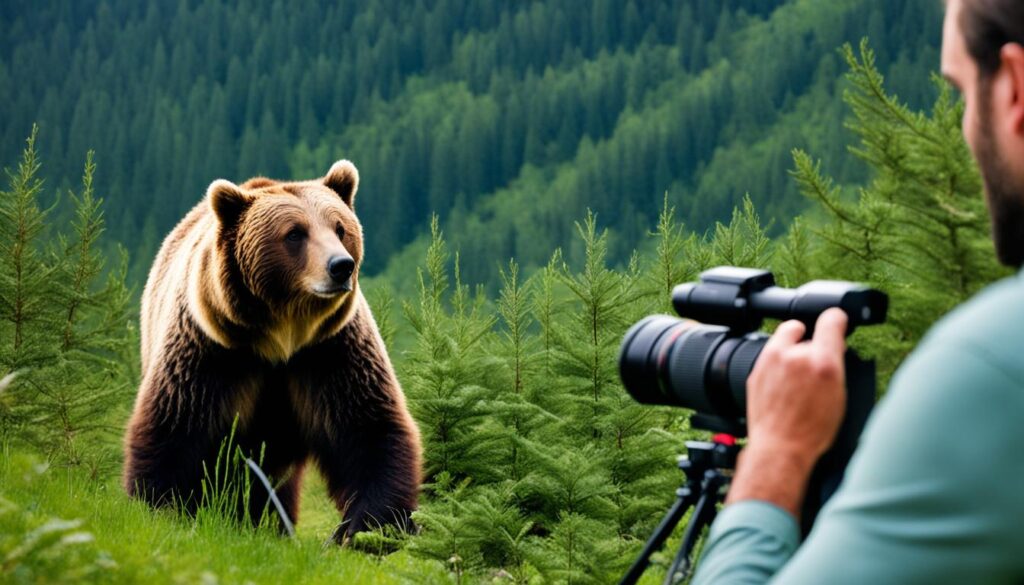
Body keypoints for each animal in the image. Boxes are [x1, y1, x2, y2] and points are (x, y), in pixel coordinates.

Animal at [122, 160, 422, 542]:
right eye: (295, 233)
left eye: (340, 228)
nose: (341, 266)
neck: (281, 337)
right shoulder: (211, 352)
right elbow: (175, 428)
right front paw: (161, 506)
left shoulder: (330, 351)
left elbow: (368, 428)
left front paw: (369, 527)